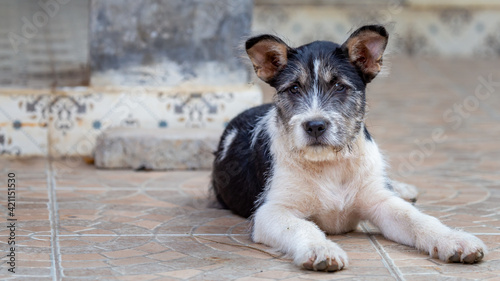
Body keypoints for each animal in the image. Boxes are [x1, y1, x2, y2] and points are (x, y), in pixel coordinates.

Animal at [210, 25, 484, 270]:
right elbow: (302, 226)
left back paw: (403, 188)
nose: (315, 126)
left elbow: (418, 219)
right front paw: (321, 249)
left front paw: (455, 240)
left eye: (339, 86)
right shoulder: (271, 211)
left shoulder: (381, 202)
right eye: (294, 88)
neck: (330, 163)